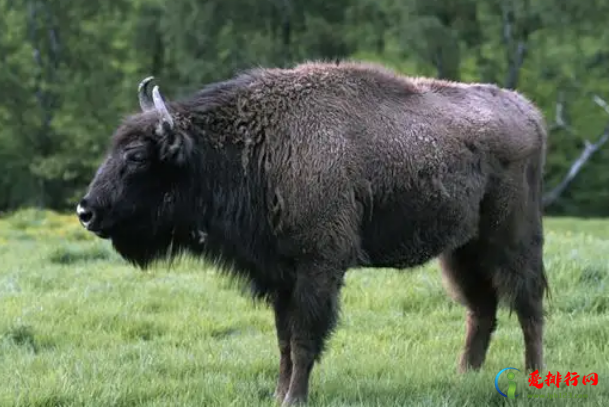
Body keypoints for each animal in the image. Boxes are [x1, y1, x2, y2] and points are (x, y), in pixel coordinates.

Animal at [76, 59, 548, 404]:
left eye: (137, 156)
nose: (86, 211)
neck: (258, 146)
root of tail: (528, 111)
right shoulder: (280, 275)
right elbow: (283, 340)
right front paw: (278, 394)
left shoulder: (317, 268)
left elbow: (304, 338)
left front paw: (294, 397)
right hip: (460, 250)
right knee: (482, 309)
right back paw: (465, 376)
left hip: (512, 239)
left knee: (528, 304)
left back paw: (533, 378)